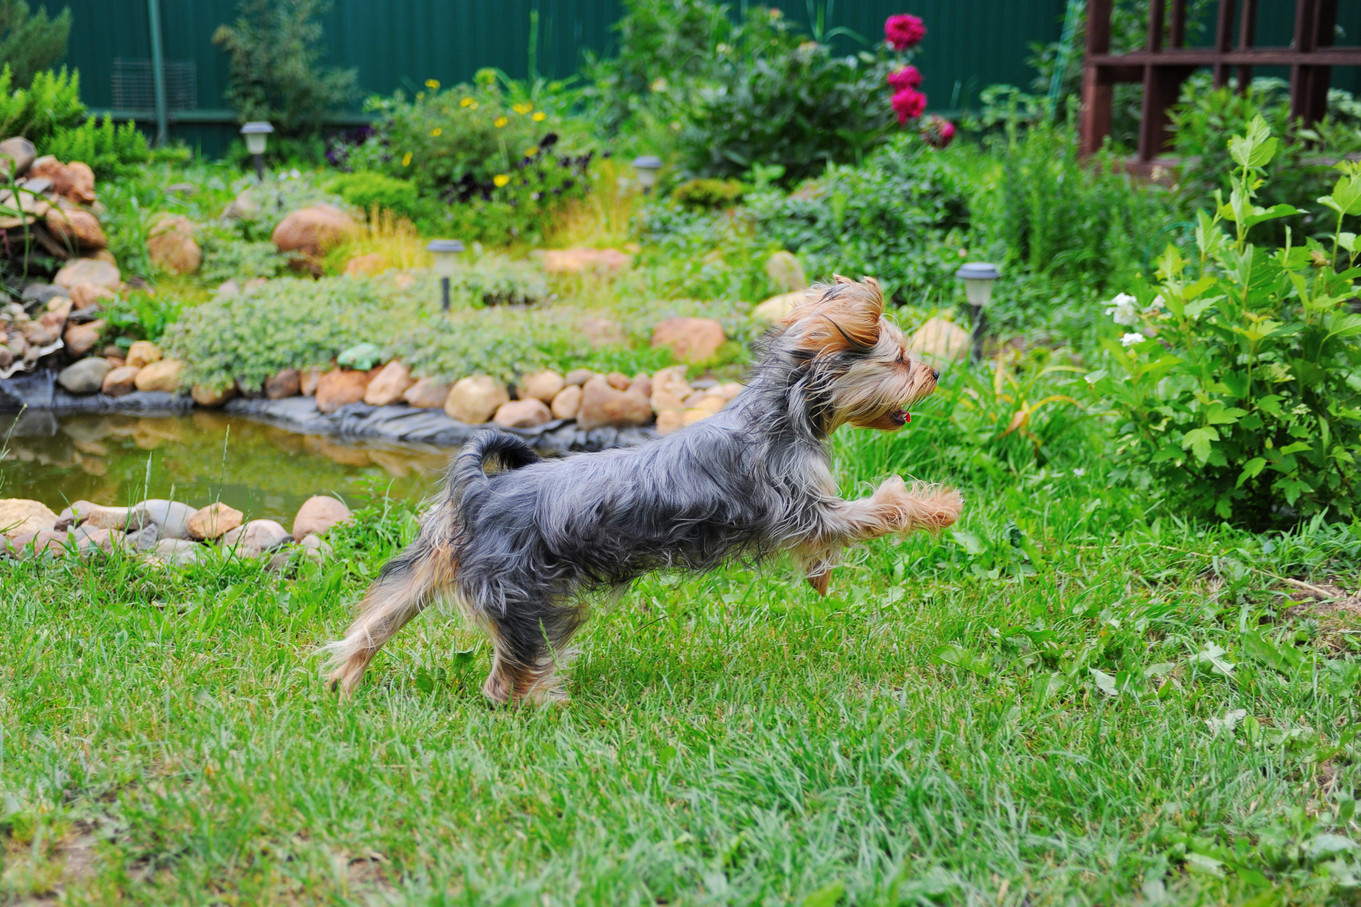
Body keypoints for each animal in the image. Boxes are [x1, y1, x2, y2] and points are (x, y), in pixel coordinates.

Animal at [323, 273, 963, 697]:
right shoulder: (801, 507)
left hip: (437, 561)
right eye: (900, 359)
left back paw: (344, 682)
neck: (785, 413)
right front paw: (941, 506)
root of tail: (482, 491)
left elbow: (832, 543)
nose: (936, 372)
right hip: (525, 595)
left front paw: (821, 578)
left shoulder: (806, 515)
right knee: (516, 669)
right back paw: (534, 706)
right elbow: (881, 509)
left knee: (376, 618)